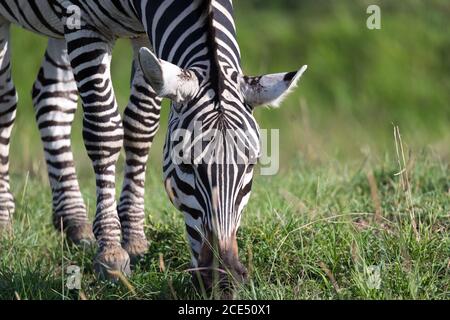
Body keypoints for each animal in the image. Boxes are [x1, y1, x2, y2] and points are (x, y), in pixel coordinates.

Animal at [0, 0, 308, 286]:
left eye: (251, 164)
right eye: (186, 164)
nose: (224, 276)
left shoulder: (147, 34)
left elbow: (141, 126)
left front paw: (134, 239)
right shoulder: (83, 22)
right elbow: (104, 128)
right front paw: (111, 253)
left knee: (51, 95)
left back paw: (74, 220)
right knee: (6, 101)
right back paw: (4, 221)